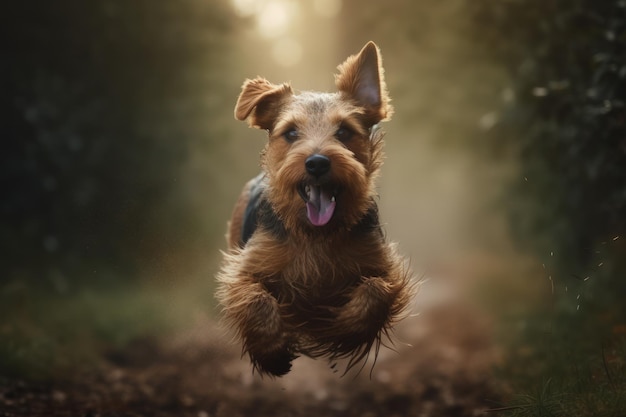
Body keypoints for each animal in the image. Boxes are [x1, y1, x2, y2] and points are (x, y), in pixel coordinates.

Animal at [217, 40, 412, 376]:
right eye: (291, 133)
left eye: (344, 131)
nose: (317, 162)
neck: (315, 235)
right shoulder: (242, 270)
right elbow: (256, 299)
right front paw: (272, 352)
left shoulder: (381, 266)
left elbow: (376, 290)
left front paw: (343, 328)